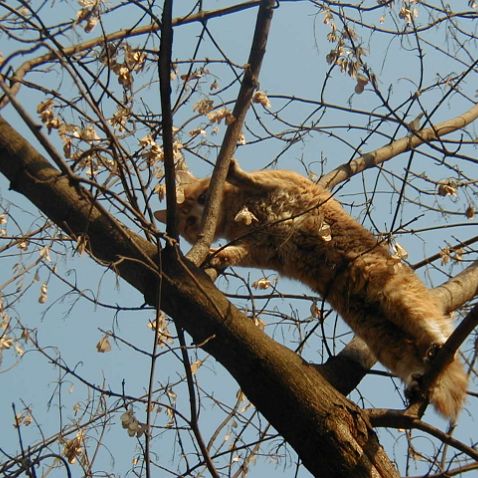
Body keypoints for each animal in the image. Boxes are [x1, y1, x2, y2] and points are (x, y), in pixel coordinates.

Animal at [156, 162, 466, 418]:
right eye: (186, 221)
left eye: (201, 199)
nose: (197, 220)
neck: (231, 213)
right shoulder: (261, 247)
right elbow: (242, 252)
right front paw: (221, 254)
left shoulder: (287, 183)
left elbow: (259, 181)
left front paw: (237, 173)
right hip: (372, 325)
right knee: (398, 348)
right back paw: (417, 374)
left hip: (393, 289)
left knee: (425, 321)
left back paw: (438, 344)